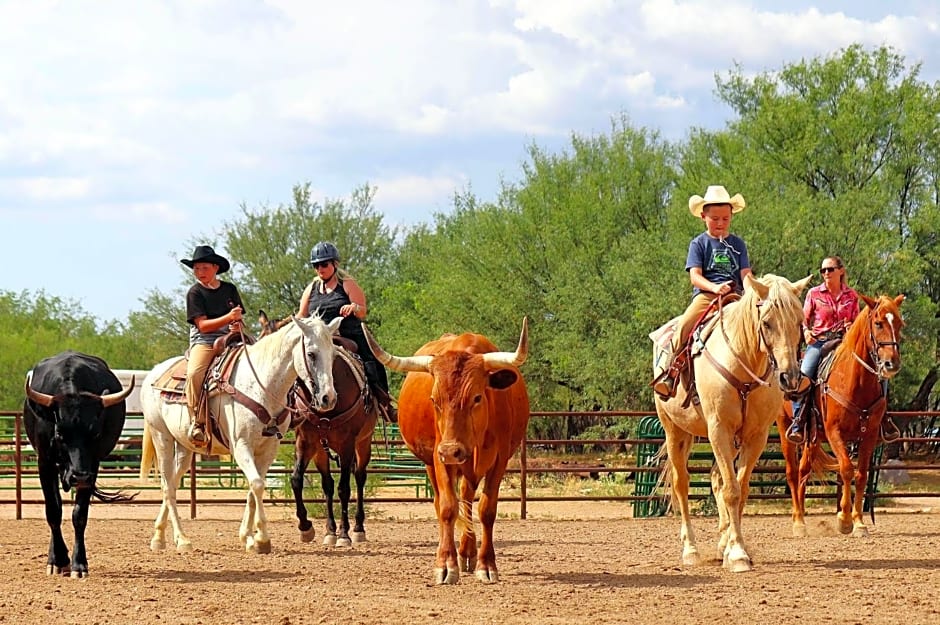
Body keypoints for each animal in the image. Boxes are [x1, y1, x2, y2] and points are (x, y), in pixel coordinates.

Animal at [138, 314, 344, 552]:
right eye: (311, 354)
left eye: (333, 355)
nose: (329, 398)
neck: (261, 386)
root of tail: (154, 373)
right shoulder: (241, 446)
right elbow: (257, 485)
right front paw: (262, 539)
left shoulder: (268, 449)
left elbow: (254, 488)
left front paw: (248, 537)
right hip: (161, 437)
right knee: (167, 486)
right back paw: (181, 539)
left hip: (185, 446)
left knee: (171, 482)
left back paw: (160, 536)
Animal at [652, 272, 808, 572]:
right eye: (767, 322)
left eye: (799, 322)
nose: (790, 377)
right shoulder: (719, 430)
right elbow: (732, 491)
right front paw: (737, 555)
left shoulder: (755, 436)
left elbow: (740, 488)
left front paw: (733, 548)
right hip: (675, 430)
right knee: (681, 483)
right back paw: (690, 550)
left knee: (716, 479)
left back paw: (721, 543)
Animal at [776, 292, 908, 536]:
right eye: (878, 323)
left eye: (899, 324)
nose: (891, 364)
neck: (855, 382)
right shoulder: (834, 433)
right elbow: (846, 470)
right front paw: (845, 520)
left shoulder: (869, 436)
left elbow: (861, 474)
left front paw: (859, 522)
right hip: (784, 427)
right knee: (792, 472)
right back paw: (798, 522)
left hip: (812, 437)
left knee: (803, 471)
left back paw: (801, 518)